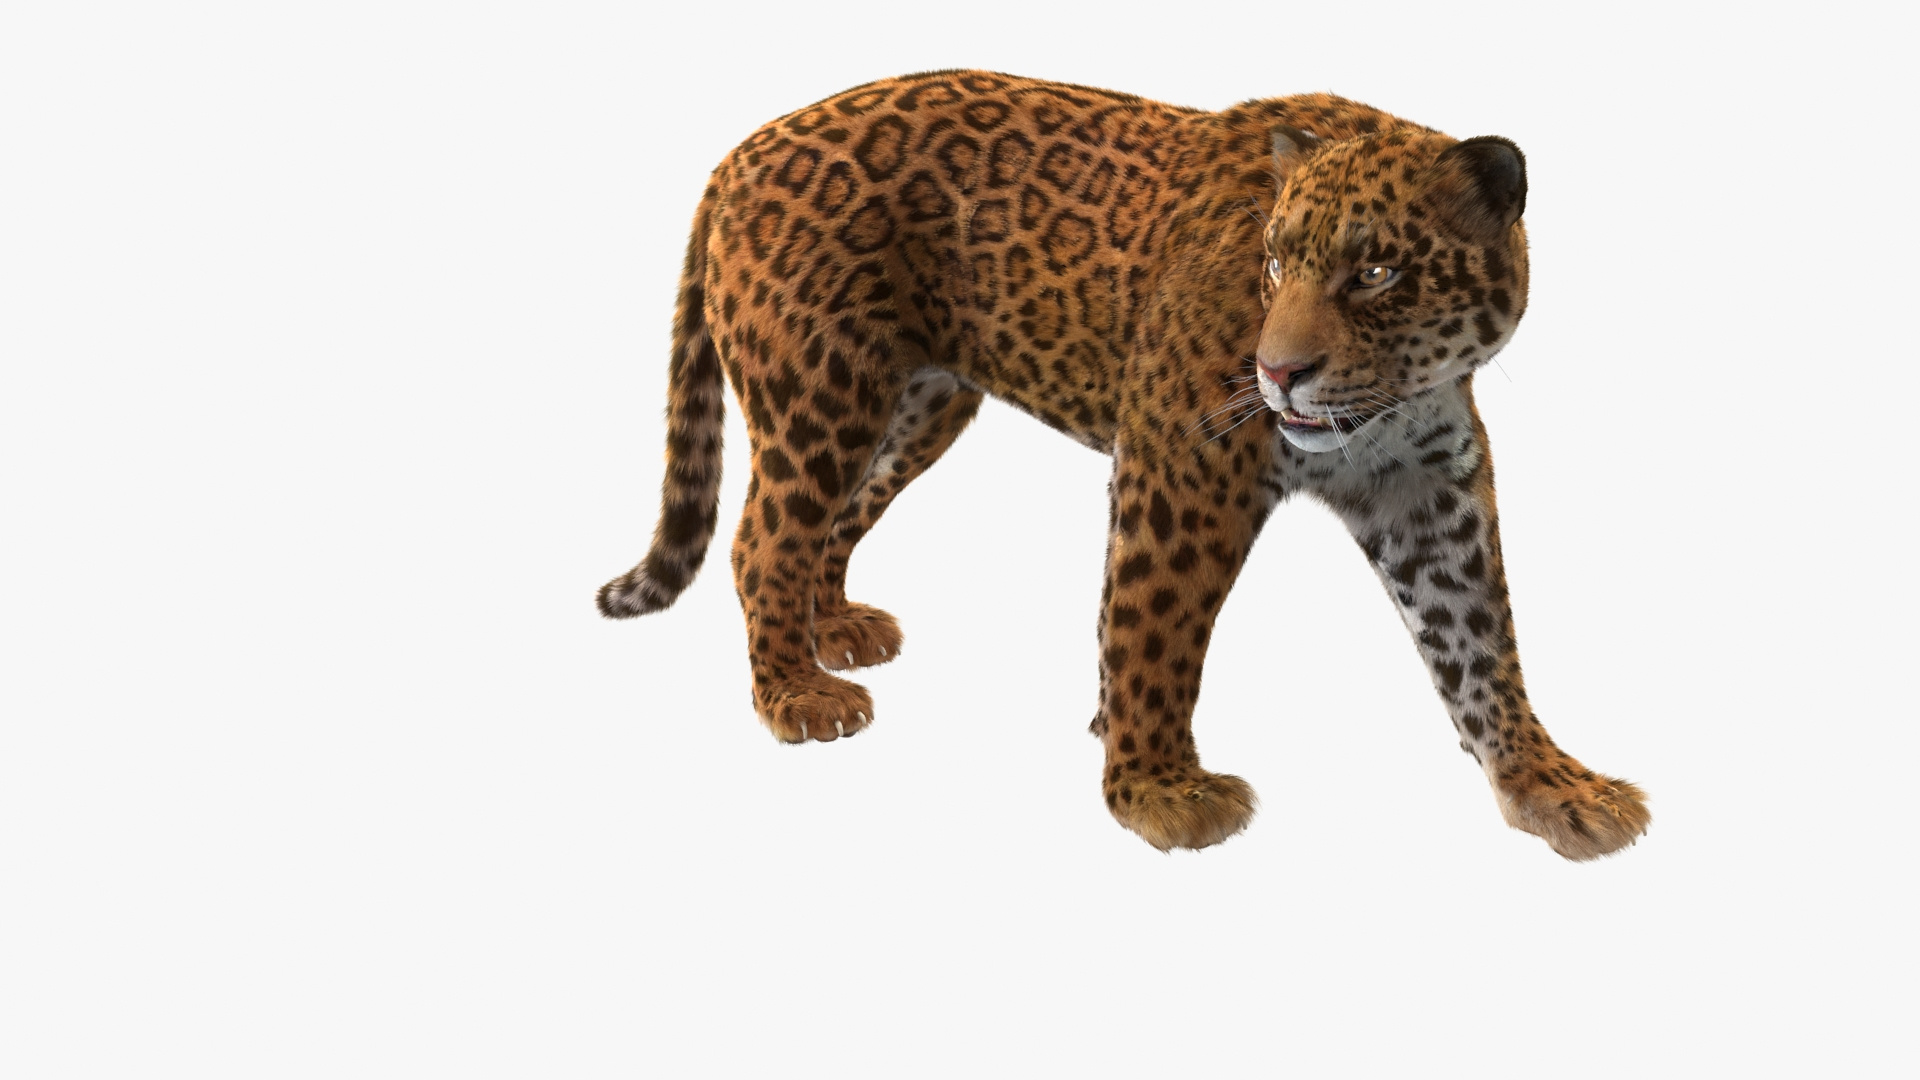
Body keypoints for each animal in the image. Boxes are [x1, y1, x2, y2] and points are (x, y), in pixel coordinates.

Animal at [597, 70, 1650, 860]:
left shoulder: (1426, 490)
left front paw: (1551, 785)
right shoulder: (1182, 467)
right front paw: (1156, 789)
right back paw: (796, 694)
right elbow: (1152, 629)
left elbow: (1480, 643)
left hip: (919, 404)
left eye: (1377, 273)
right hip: (823, 393)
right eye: (1275, 263)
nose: (1279, 373)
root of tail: (738, 153)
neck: (1387, 408)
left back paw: (835, 630)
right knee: (762, 540)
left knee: (834, 519)